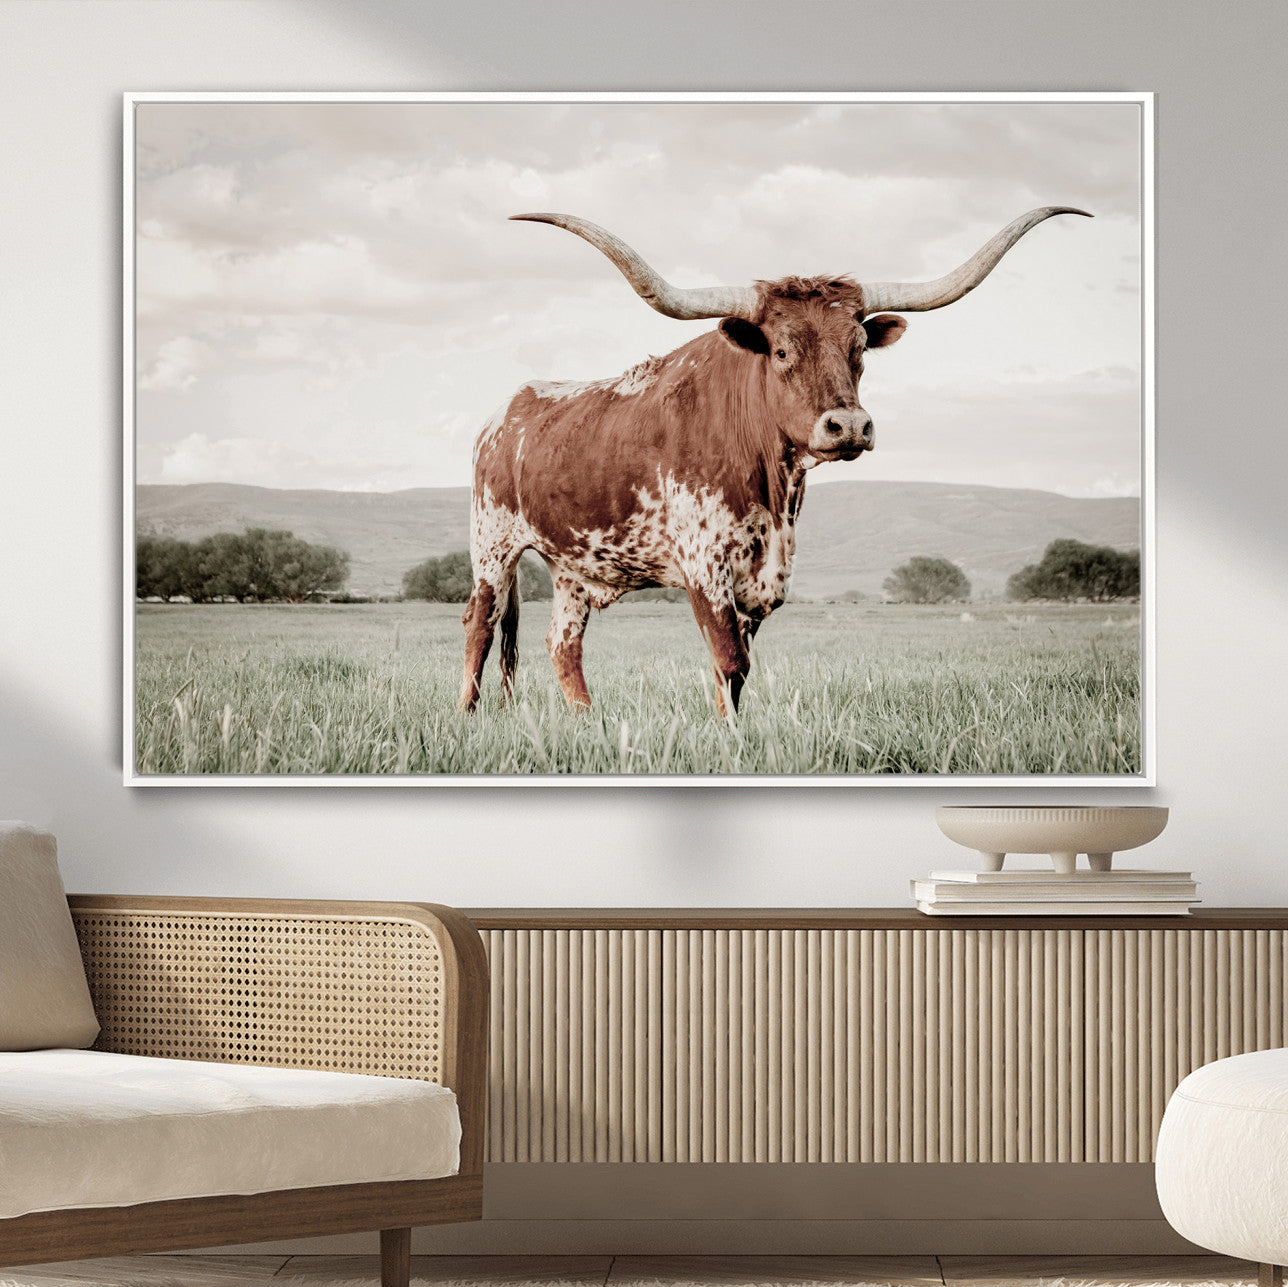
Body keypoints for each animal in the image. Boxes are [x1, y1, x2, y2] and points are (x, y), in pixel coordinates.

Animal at [460, 206, 1089, 714]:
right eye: (782, 351)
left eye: (859, 350)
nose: (849, 426)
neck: (772, 489)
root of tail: (502, 415)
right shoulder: (704, 566)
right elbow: (729, 662)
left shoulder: (764, 580)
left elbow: (736, 673)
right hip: (492, 547)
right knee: (479, 630)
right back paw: (468, 717)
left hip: (572, 568)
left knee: (563, 646)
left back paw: (587, 720)